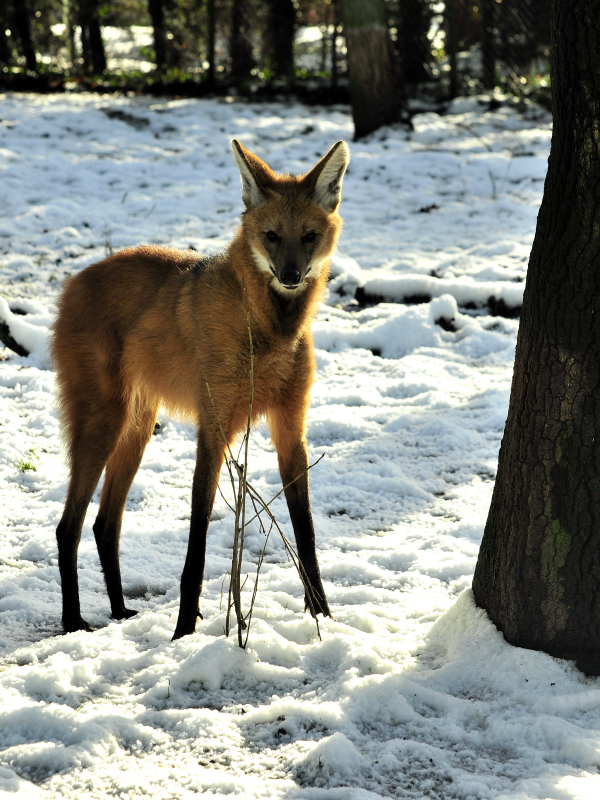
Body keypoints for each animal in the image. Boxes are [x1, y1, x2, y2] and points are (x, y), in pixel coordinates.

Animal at [53, 136, 350, 636]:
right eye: (272, 236)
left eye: (309, 236)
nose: (290, 275)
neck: (269, 330)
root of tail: (73, 281)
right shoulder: (214, 430)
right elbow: (197, 541)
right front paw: (183, 631)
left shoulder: (291, 429)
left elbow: (306, 535)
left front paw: (324, 617)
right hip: (104, 422)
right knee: (68, 526)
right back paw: (74, 621)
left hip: (137, 428)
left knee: (104, 524)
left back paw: (119, 610)